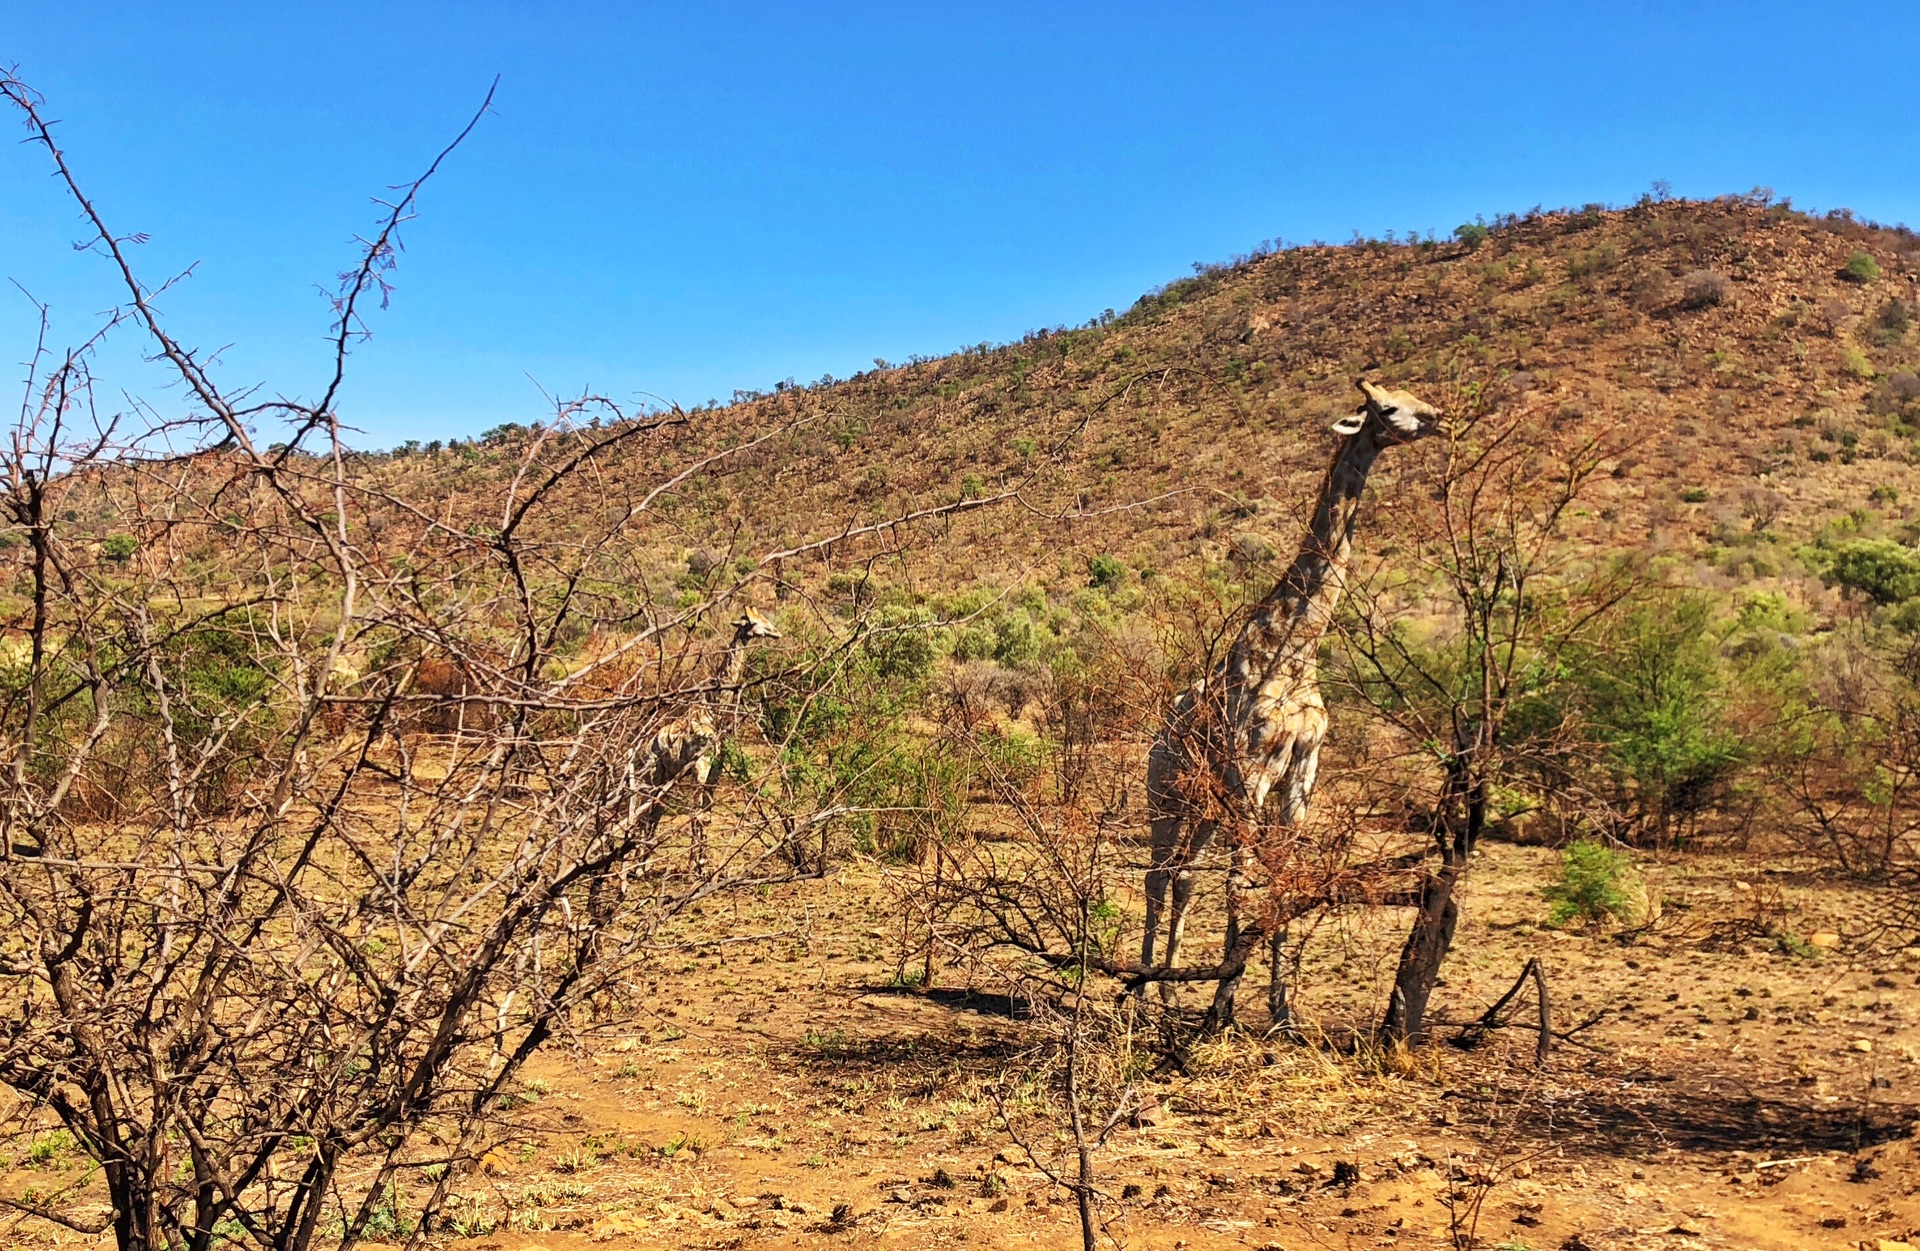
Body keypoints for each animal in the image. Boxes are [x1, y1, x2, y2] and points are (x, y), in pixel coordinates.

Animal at [1136, 377, 1443, 1028]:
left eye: (1408, 395)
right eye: (1386, 406)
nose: (1437, 416)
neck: (1297, 648)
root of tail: (1158, 735)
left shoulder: (1302, 773)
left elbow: (1281, 880)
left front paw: (1280, 1008)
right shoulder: (1252, 771)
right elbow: (1242, 882)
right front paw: (1224, 1004)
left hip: (1207, 805)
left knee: (1185, 877)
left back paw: (1172, 992)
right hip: (1167, 794)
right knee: (1158, 875)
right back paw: (1146, 990)